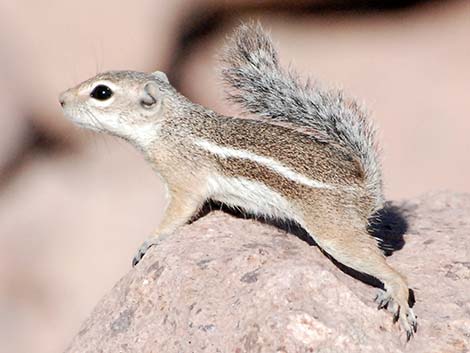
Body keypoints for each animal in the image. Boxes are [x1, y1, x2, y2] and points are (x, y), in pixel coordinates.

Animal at [59, 22, 418, 338]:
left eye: (101, 92)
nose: (61, 99)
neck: (169, 125)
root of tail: (367, 187)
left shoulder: (184, 181)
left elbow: (177, 214)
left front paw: (149, 241)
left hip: (334, 233)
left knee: (390, 270)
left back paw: (399, 298)